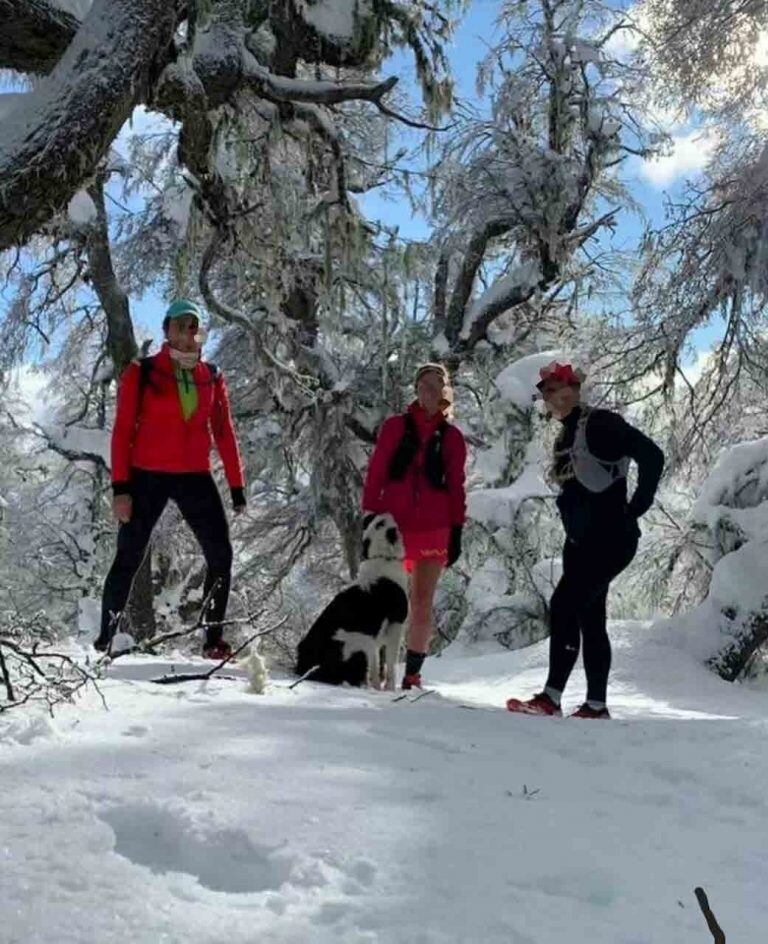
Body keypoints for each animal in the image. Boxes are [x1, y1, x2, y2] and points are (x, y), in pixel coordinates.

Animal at [296, 512, 412, 688]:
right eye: (381, 523)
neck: (382, 557)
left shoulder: (378, 638)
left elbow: (378, 668)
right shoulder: (395, 627)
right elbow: (391, 666)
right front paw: (390, 689)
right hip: (361, 645)